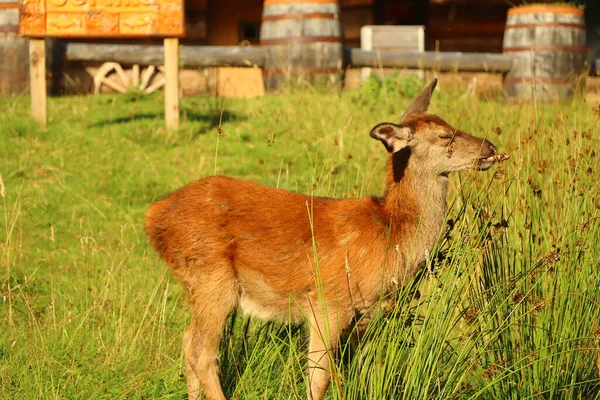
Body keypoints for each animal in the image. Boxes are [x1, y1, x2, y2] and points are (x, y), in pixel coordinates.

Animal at [144, 79, 506, 400]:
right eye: (446, 135)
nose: (491, 149)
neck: (391, 232)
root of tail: (152, 217)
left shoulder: (366, 314)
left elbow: (360, 370)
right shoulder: (327, 302)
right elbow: (318, 378)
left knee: (188, 340)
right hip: (211, 276)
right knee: (201, 351)